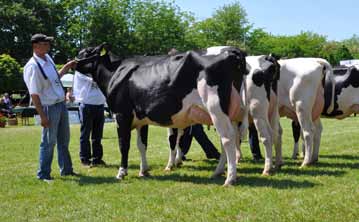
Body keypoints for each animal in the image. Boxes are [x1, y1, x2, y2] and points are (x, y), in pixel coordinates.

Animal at [74, 43, 249, 186]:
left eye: (86, 52)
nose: (72, 61)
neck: (115, 72)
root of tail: (233, 51)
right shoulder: (141, 120)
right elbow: (142, 145)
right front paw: (144, 170)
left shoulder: (121, 115)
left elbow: (124, 145)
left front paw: (121, 173)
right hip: (230, 112)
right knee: (229, 138)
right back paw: (218, 172)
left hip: (215, 107)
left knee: (227, 138)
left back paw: (230, 178)